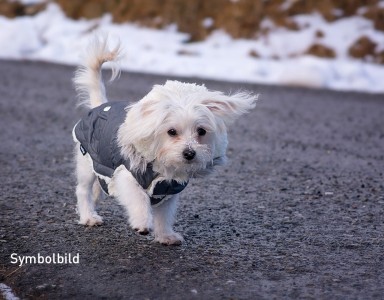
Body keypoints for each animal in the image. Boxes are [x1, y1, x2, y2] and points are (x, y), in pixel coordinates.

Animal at [72, 36, 258, 245]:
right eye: (171, 132)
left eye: (201, 131)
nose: (189, 153)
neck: (163, 168)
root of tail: (99, 106)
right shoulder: (127, 176)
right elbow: (139, 199)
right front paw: (142, 222)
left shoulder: (167, 190)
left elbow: (164, 216)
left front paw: (165, 236)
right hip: (86, 162)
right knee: (83, 190)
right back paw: (88, 216)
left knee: (98, 186)